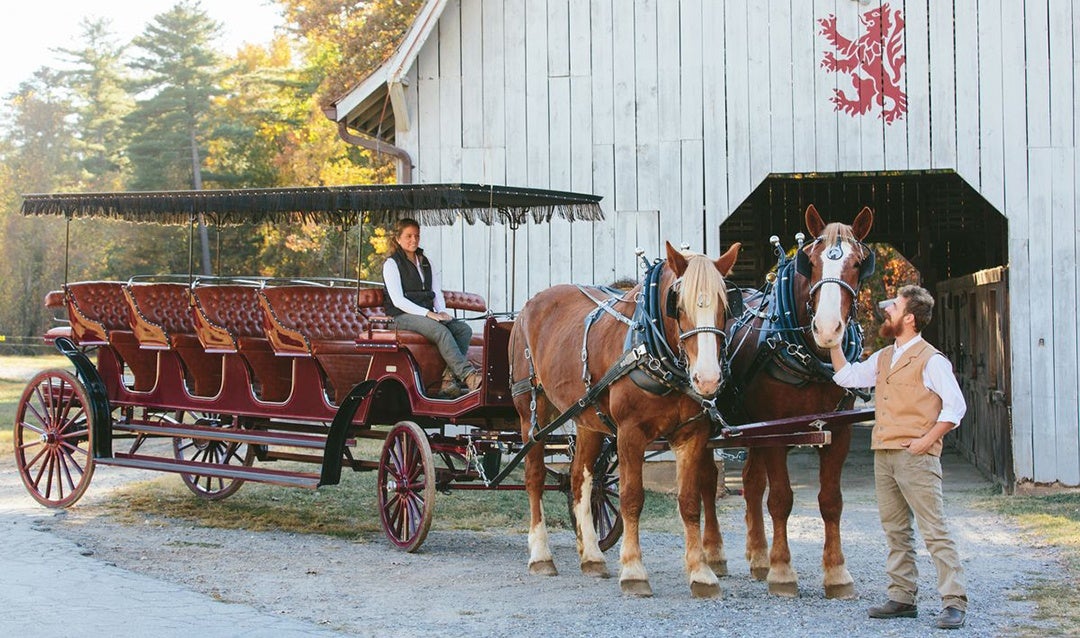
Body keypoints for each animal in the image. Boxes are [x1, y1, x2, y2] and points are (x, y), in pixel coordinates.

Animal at [509, 240, 738, 600]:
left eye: (725, 307)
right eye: (678, 305)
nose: (707, 378)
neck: (653, 350)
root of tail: (531, 304)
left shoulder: (692, 434)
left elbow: (689, 502)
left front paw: (701, 574)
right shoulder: (630, 433)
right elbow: (632, 498)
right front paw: (633, 570)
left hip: (586, 418)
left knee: (581, 479)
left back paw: (591, 556)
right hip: (531, 411)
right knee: (534, 478)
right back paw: (541, 555)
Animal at [725, 205, 868, 600]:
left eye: (858, 263)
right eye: (811, 262)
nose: (828, 329)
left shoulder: (838, 430)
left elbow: (831, 501)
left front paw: (837, 574)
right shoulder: (775, 433)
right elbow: (781, 499)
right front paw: (782, 572)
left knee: (751, 483)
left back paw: (758, 556)